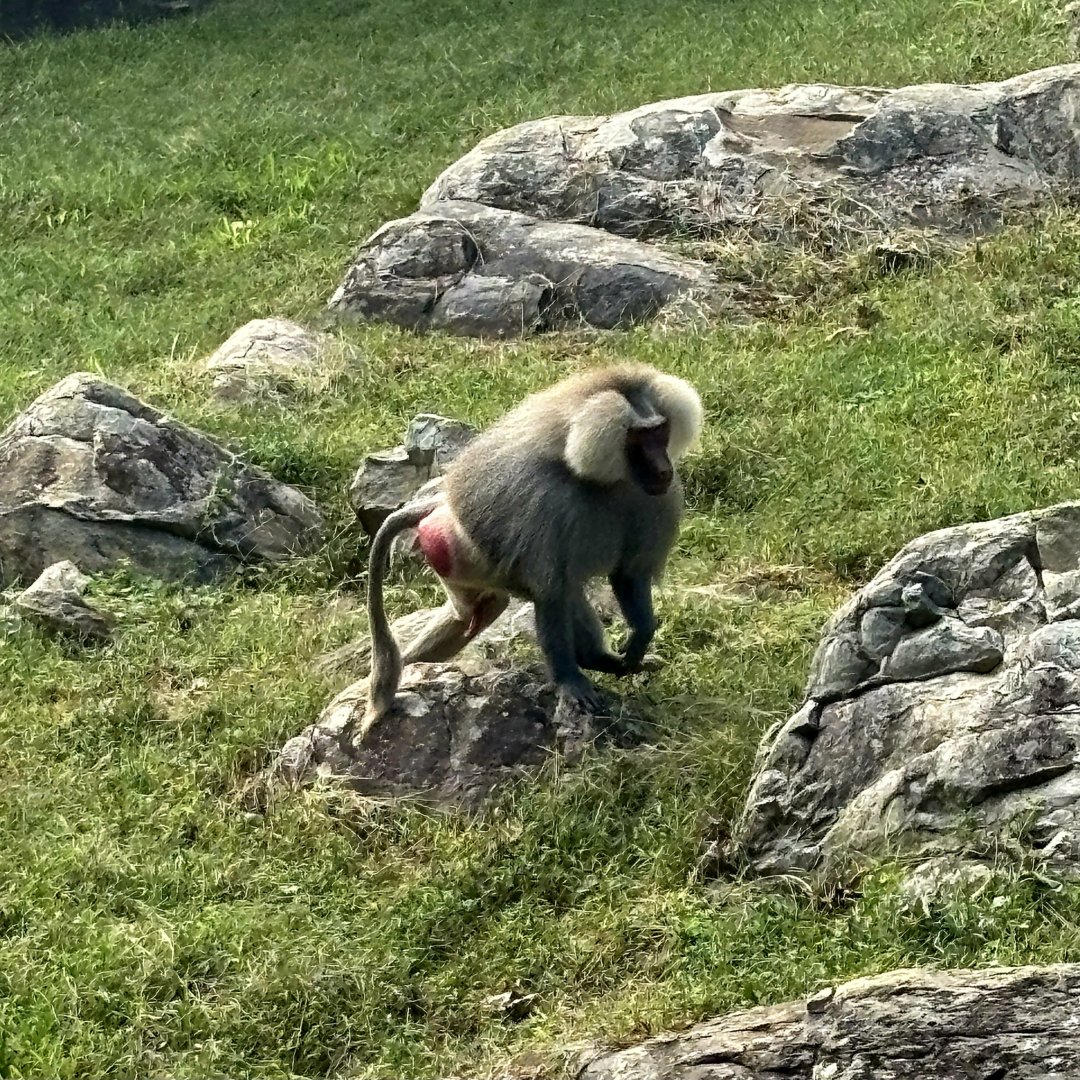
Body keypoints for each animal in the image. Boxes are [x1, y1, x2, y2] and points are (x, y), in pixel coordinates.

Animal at [363, 364, 704, 729]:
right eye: (640, 437)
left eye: (660, 431)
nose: (664, 470)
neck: (599, 477)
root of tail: (441, 506)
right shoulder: (548, 503)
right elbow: (551, 594)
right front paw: (568, 681)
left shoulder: (654, 500)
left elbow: (628, 576)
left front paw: (640, 635)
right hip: (455, 554)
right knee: (539, 597)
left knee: (486, 609)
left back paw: (605, 661)